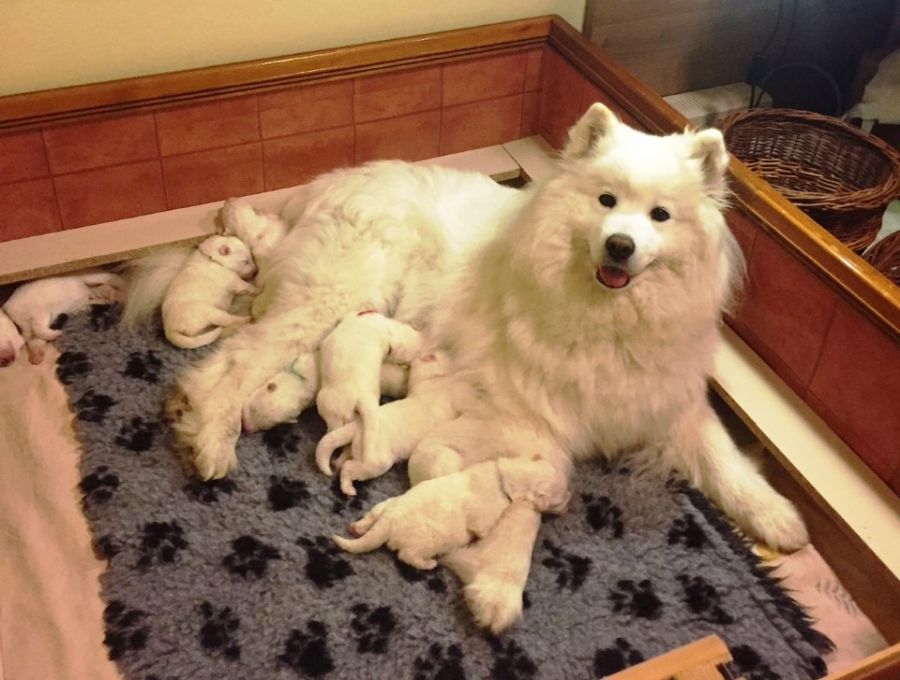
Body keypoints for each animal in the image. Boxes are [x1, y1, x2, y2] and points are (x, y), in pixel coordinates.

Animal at [318, 350, 458, 494]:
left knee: (345, 456)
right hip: (377, 462)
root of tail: (356, 427)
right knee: (349, 467)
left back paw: (337, 463)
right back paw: (348, 488)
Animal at [334, 456, 572, 568]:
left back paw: (357, 527)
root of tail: (389, 522)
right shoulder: (483, 519)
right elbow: (485, 529)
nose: (570, 503)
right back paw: (429, 564)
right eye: (560, 500)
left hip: (386, 505)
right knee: (407, 556)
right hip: (423, 542)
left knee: (372, 515)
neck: (506, 476)